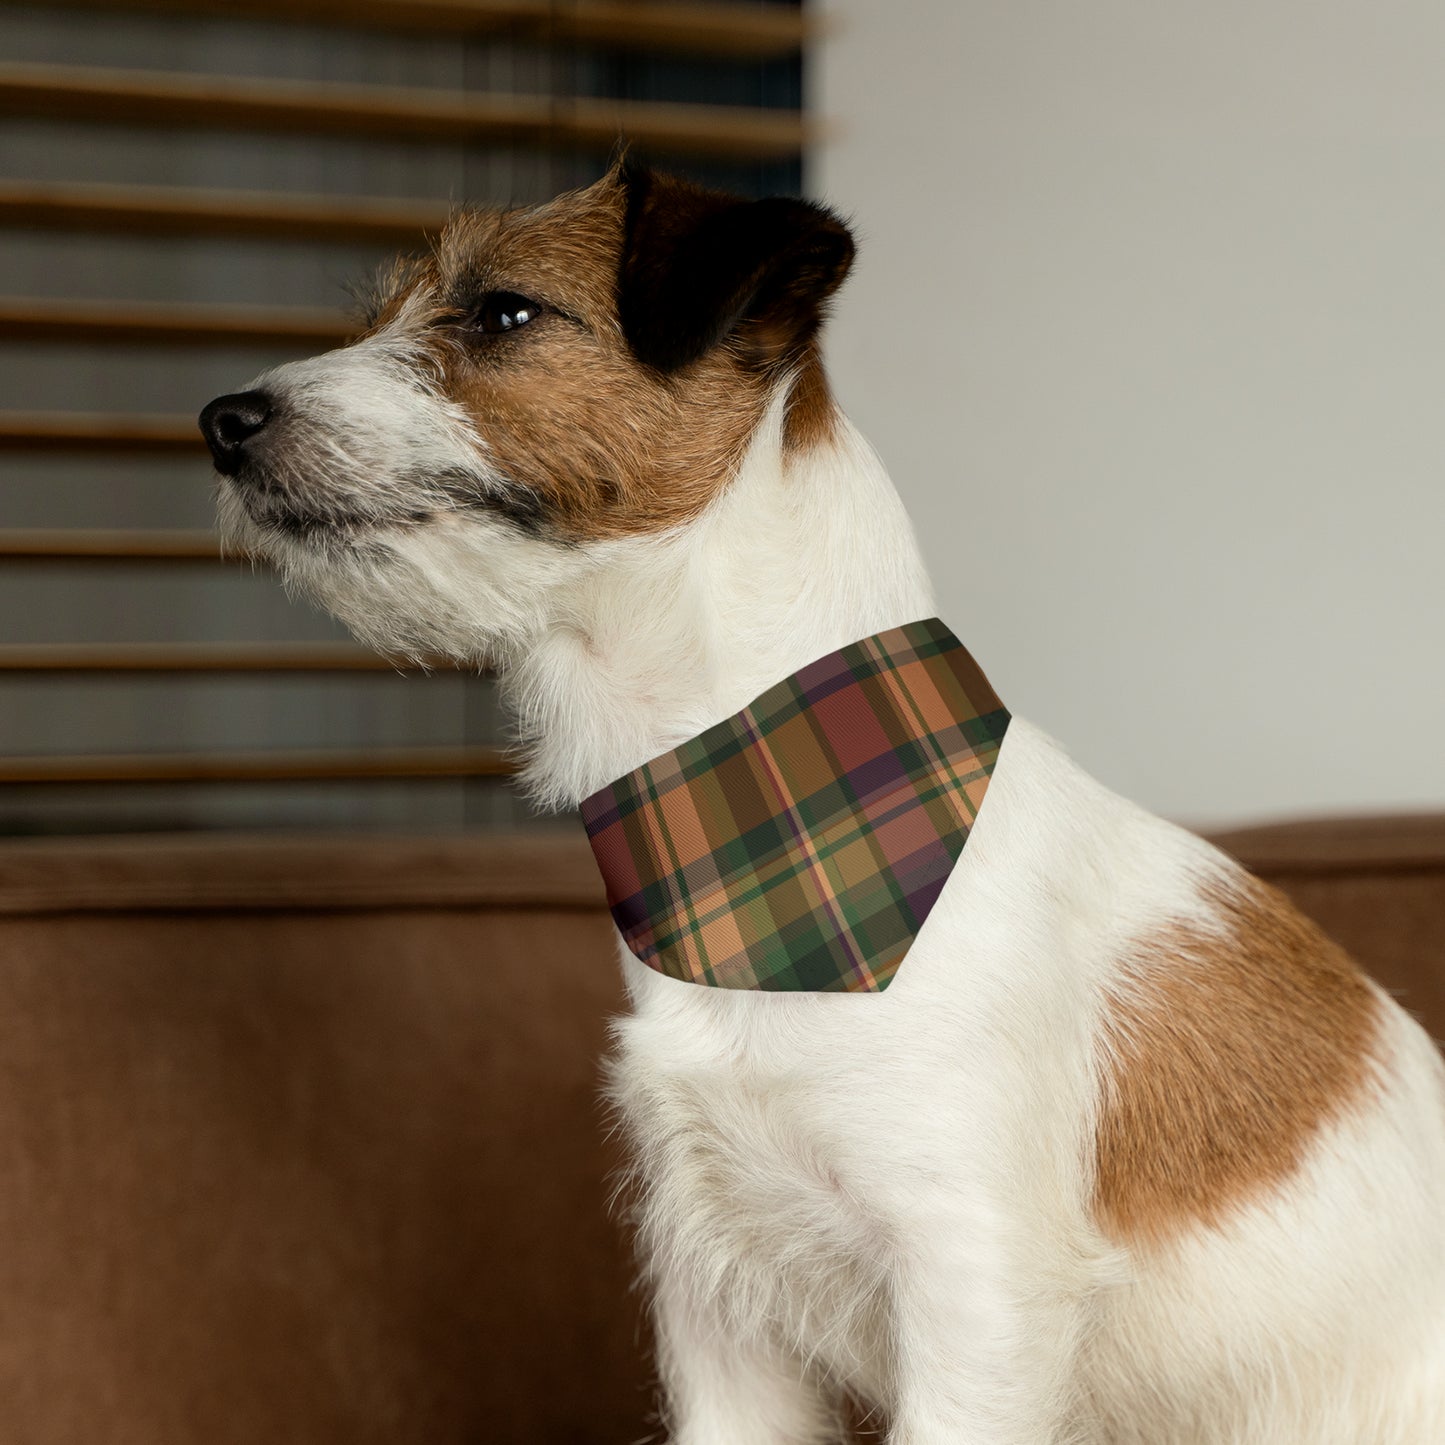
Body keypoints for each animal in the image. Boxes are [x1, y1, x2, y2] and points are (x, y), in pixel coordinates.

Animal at [200, 164, 1445, 1445]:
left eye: (502, 312)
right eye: (382, 314)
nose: (221, 421)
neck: (755, 830)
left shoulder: (973, 1291)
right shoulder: (716, 1304)